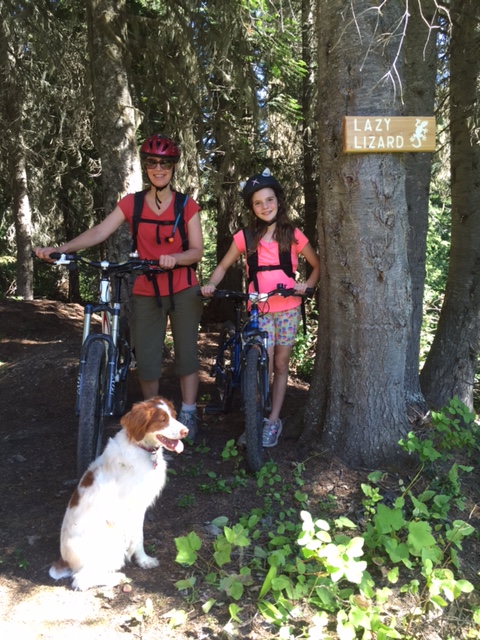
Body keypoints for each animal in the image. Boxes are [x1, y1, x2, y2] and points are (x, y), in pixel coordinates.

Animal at [49, 396, 188, 591]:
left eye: (173, 415)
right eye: (162, 420)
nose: (186, 431)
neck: (140, 447)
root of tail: (65, 560)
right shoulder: (134, 509)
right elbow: (138, 537)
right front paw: (144, 561)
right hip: (112, 539)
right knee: (81, 580)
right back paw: (117, 578)